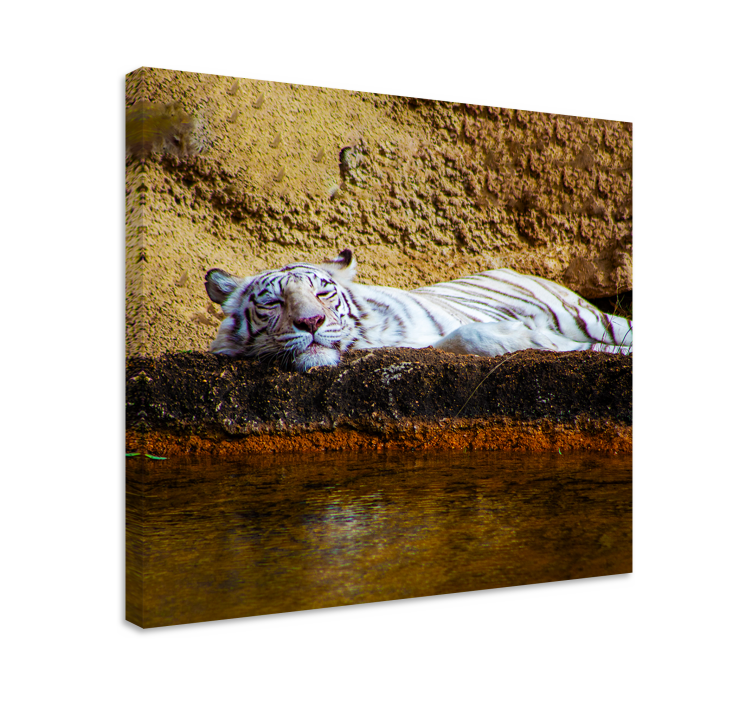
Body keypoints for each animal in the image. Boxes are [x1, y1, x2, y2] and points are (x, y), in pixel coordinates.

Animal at [205, 249, 633, 372]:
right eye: (273, 302)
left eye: (323, 293)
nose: (311, 322)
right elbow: (462, 338)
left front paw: (527, 337)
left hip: (586, 316)